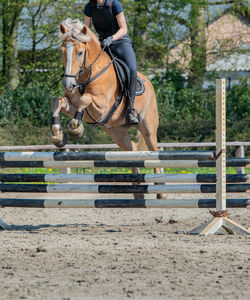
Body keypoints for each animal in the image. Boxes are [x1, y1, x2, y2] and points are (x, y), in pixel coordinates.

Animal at [50, 19, 164, 200]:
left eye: (80, 53)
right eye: (62, 51)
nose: (69, 85)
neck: (87, 75)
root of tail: (149, 83)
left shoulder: (102, 108)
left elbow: (85, 99)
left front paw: (76, 129)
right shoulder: (72, 104)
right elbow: (57, 101)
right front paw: (58, 135)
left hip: (148, 129)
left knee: (154, 152)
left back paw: (160, 192)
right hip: (116, 132)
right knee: (132, 148)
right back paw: (137, 189)